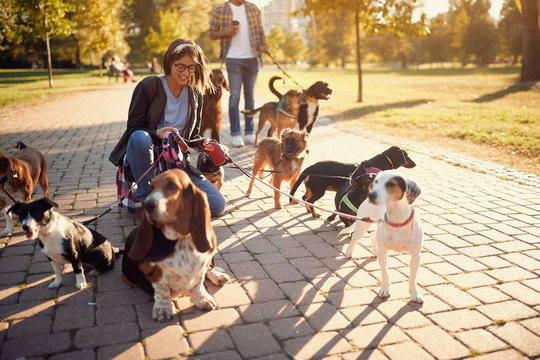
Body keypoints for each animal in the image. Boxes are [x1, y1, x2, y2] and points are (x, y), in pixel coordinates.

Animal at [122, 170, 230, 322]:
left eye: (172, 185)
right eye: (151, 187)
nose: (147, 205)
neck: (180, 239)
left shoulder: (200, 266)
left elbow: (198, 283)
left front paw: (202, 299)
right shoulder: (155, 272)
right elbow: (162, 290)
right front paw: (163, 309)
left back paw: (218, 276)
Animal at [288, 146, 416, 217]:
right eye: (406, 155)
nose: (415, 164)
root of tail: (310, 168)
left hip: (312, 188)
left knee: (305, 198)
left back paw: (309, 210)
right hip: (319, 190)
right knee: (310, 200)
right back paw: (314, 213)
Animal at [340, 170, 424, 302]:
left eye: (391, 184)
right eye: (375, 182)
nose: (371, 195)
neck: (397, 221)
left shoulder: (416, 255)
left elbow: (413, 277)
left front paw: (415, 294)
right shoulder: (384, 252)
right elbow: (385, 273)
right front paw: (385, 289)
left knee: (373, 236)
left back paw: (374, 251)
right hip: (362, 227)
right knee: (354, 239)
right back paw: (349, 251)